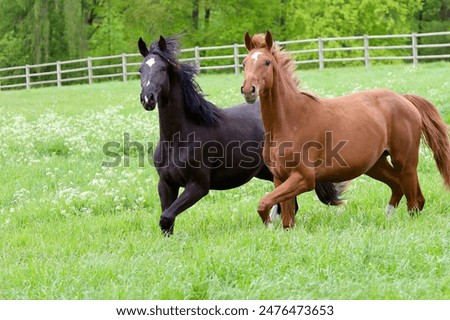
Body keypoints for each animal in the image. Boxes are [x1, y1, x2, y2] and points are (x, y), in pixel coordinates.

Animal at [137, 35, 344, 235]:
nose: (148, 98)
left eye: (163, 68)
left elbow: (166, 217)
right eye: (140, 70)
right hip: (267, 172)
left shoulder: (198, 186)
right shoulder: (166, 184)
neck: (179, 138)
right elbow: (167, 221)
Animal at [241, 31, 450, 229]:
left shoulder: (304, 178)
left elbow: (263, 203)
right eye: (244, 63)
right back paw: (387, 218)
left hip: (406, 162)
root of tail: (404, 99)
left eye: (267, 62)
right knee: (400, 188)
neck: (291, 122)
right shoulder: (280, 178)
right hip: (376, 165)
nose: (248, 90)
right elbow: (286, 219)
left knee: (414, 201)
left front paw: (269, 225)